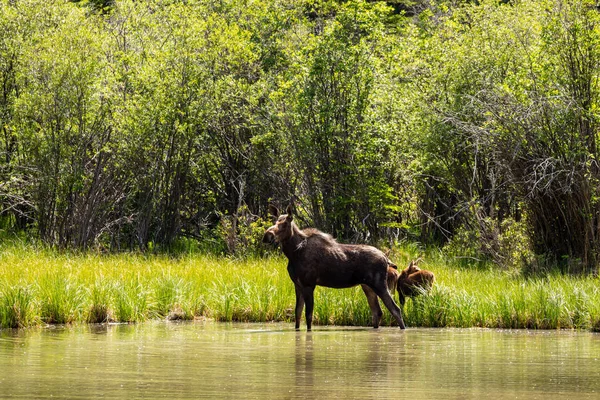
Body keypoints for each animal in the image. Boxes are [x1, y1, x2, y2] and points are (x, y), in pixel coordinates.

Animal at [264, 205, 408, 330]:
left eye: (285, 224)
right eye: (275, 221)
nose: (267, 236)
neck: (293, 253)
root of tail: (386, 259)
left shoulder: (309, 284)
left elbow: (308, 316)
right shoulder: (297, 285)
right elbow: (297, 314)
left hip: (379, 284)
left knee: (395, 309)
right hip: (367, 286)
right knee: (377, 312)